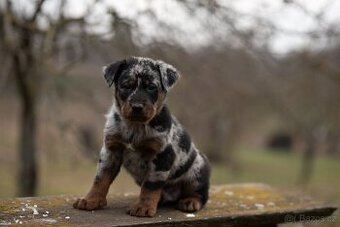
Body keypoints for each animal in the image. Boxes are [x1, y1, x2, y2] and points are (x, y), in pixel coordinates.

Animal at [73, 56, 210, 216]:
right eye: (126, 86)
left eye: (151, 87)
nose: (137, 107)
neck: (135, 127)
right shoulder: (111, 149)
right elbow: (100, 178)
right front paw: (91, 200)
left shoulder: (161, 155)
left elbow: (150, 185)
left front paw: (143, 207)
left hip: (198, 169)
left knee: (200, 193)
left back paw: (189, 201)